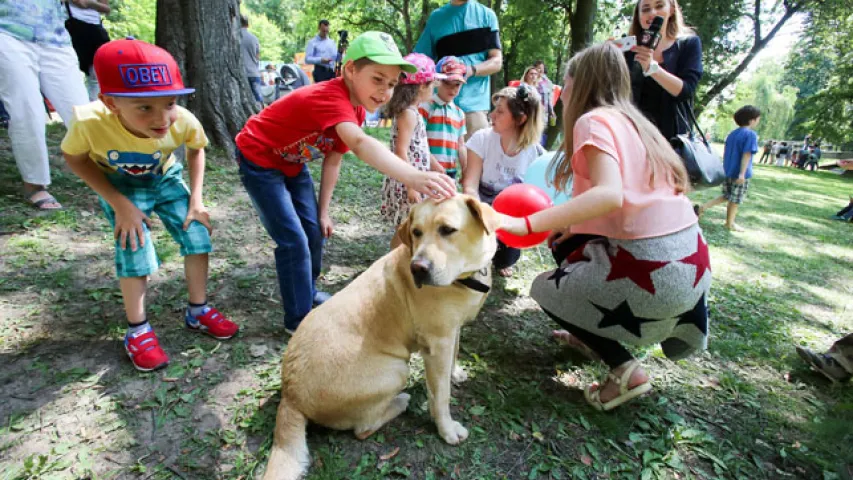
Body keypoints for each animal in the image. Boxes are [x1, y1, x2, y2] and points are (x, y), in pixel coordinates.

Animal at [262, 196, 496, 480]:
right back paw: (400, 402)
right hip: (396, 370)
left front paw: (456, 373)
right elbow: (440, 396)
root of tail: (290, 394)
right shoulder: (437, 343)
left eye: (448, 230)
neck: (464, 278)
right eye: (416, 232)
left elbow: (455, 353)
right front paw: (447, 430)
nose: (418, 268)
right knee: (362, 428)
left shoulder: (452, 331)